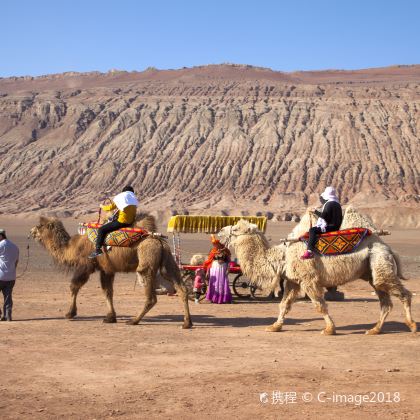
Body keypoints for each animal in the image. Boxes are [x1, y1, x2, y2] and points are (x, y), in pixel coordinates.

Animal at [30, 215, 194, 330]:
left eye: (40, 226)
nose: (31, 232)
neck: (73, 247)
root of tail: (159, 241)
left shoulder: (85, 265)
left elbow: (74, 286)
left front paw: (70, 313)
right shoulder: (107, 269)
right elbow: (107, 291)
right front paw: (110, 317)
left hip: (147, 259)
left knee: (151, 296)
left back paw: (133, 320)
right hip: (168, 260)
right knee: (181, 288)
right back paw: (187, 323)